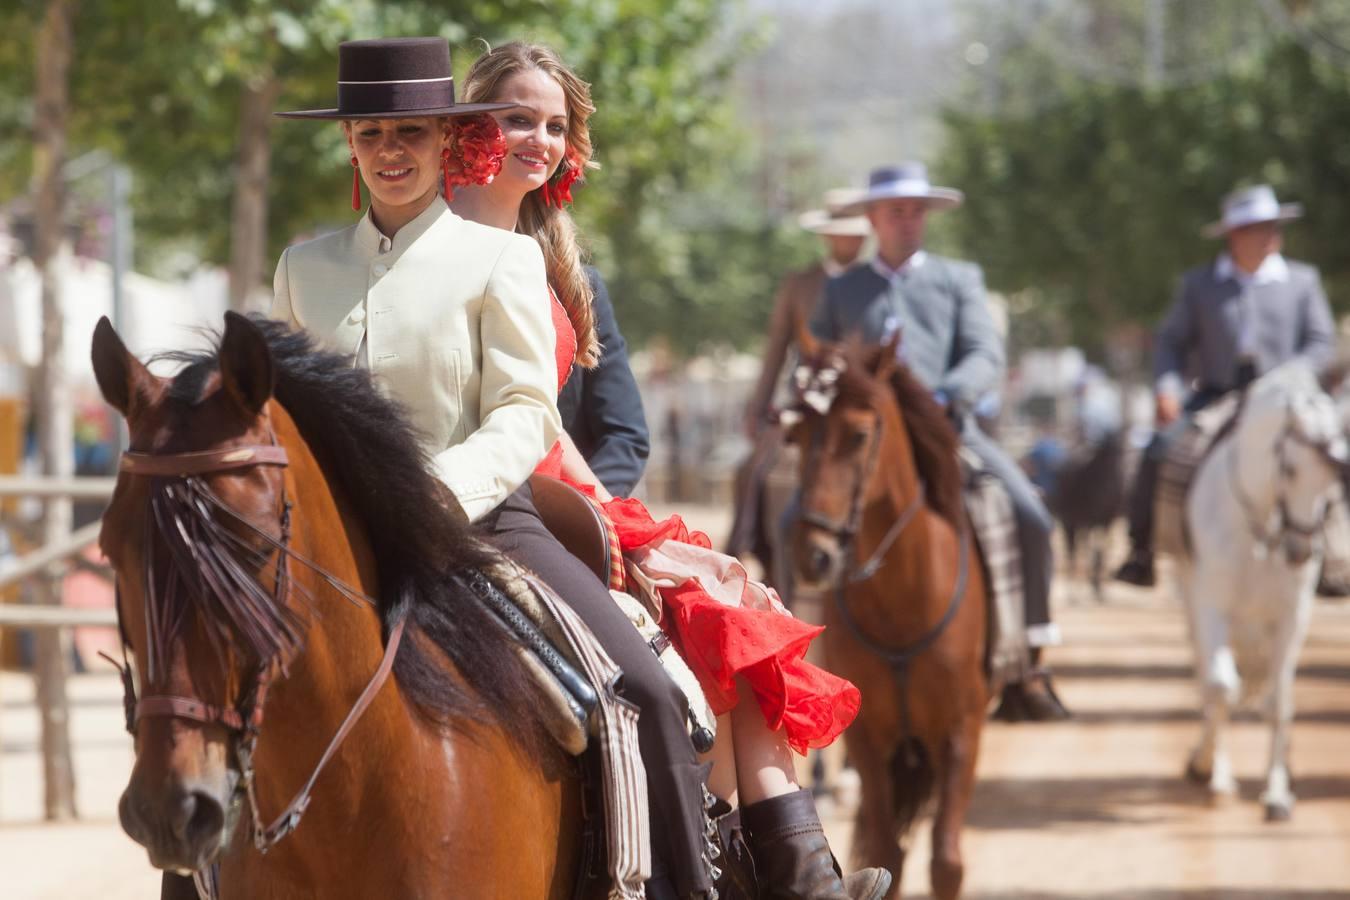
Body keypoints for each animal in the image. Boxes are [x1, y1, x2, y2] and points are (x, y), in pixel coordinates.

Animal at [788, 330, 988, 900]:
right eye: (796, 435)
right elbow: (886, 851)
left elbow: (946, 861)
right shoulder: (869, 737)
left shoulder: (963, 731)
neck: (905, 601)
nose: (814, 554)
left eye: (858, 435)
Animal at [1177, 361, 1344, 825]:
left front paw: (1277, 793)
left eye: (1334, 473)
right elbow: (1221, 687)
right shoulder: (1211, 606)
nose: (1301, 551)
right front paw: (1214, 773)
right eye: (1289, 469)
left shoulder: (1293, 615)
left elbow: (1279, 702)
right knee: (1207, 680)